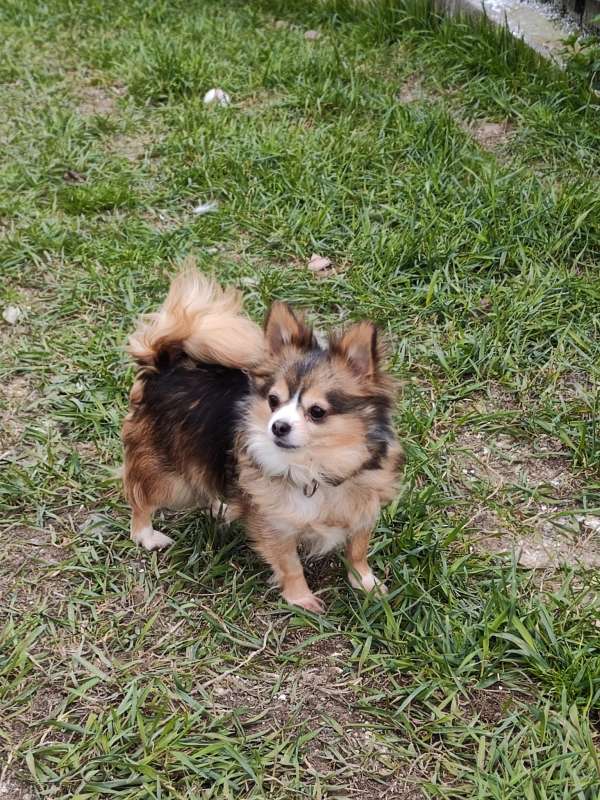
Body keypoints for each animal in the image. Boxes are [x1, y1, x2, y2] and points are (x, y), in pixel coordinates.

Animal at [122, 268, 403, 612]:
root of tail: (164, 363)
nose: (278, 426)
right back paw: (146, 535)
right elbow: (290, 564)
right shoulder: (275, 525)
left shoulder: (362, 506)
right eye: (273, 400)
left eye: (317, 411)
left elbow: (358, 550)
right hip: (169, 476)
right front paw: (301, 599)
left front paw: (365, 583)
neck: (315, 469)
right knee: (140, 497)